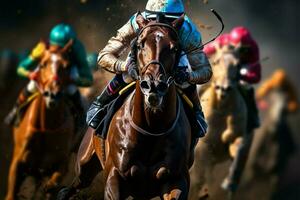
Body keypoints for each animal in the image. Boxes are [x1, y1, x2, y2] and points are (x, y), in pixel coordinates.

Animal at [5, 41, 75, 200]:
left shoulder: (62, 161)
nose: (53, 94)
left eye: (67, 66)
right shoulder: (17, 163)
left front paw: (51, 187)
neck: (45, 128)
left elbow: (54, 182)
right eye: (42, 64)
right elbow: (11, 193)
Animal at [66, 14, 192, 200]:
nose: (154, 85)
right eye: (140, 45)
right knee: (72, 186)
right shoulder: (114, 176)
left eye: (174, 48)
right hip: (84, 165)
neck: (151, 128)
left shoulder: (176, 179)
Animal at [189, 46, 247, 198]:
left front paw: (229, 182)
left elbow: (238, 146)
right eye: (216, 61)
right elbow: (198, 178)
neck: (222, 109)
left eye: (238, 65)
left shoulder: (238, 136)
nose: (224, 88)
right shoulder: (203, 147)